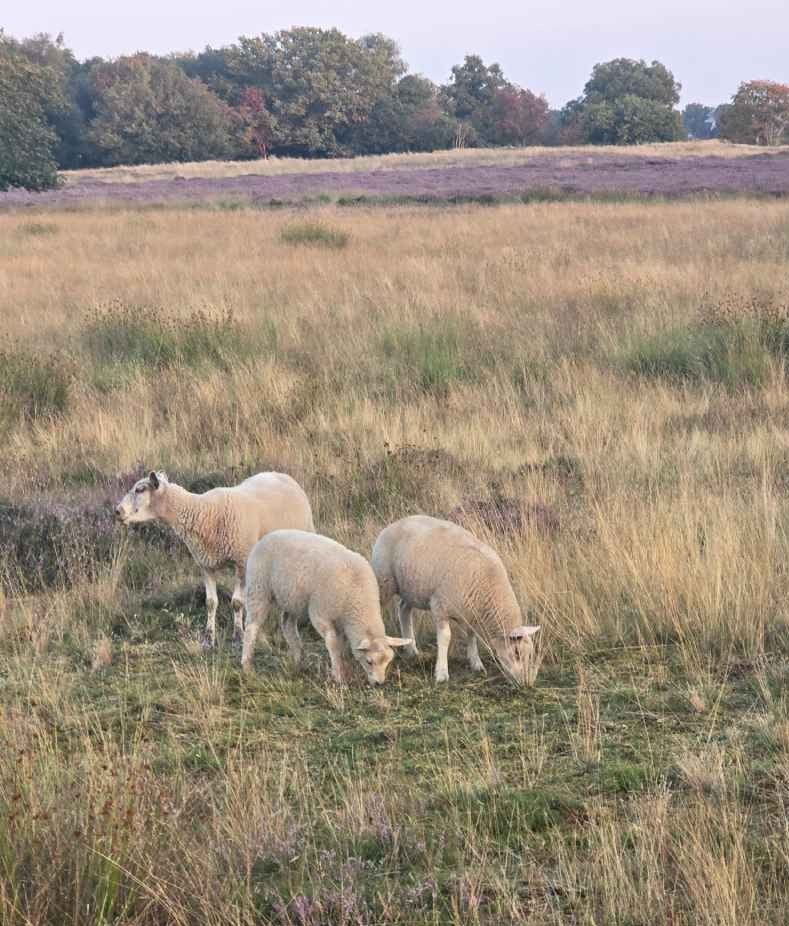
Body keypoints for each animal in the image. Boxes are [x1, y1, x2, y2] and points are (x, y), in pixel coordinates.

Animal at [115, 471, 314, 647]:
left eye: (140, 489)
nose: (117, 511)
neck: (205, 512)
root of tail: (283, 475)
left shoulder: (241, 561)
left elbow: (237, 603)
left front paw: (238, 637)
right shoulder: (206, 564)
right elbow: (211, 603)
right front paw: (208, 639)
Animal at [241, 529, 412, 685]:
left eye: (388, 661)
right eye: (369, 661)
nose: (379, 683)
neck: (357, 599)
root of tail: (268, 535)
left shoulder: (342, 622)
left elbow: (340, 645)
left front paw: (342, 666)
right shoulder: (320, 614)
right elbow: (332, 643)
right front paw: (338, 675)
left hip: (292, 598)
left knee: (287, 624)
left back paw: (297, 659)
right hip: (258, 588)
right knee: (251, 626)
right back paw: (247, 665)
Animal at [371, 515, 540, 685]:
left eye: (530, 654)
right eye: (517, 652)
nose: (526, 683)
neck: (488, 588)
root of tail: (396, 523)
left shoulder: (471, 613)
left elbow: (472, 636)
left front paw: (476, 663)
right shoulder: (440, 606)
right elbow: (445, 638)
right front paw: (441, 673)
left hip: (411, 587)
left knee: (404, 610)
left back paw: (412, 650)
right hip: (384, 580)